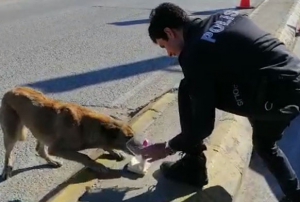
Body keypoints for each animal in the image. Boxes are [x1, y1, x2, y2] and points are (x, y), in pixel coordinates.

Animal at [0, 86, 135, 180]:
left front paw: (114, 151)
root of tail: (12, 90)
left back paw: (52, 161)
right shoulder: (56, 149)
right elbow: (83, 156)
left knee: (40, 149)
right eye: (128, 138)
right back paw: (7, 169)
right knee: (8, 153)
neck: (84, 125)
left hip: (40, 130)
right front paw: (97, 165)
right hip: (12, 133)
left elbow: (104, 145)